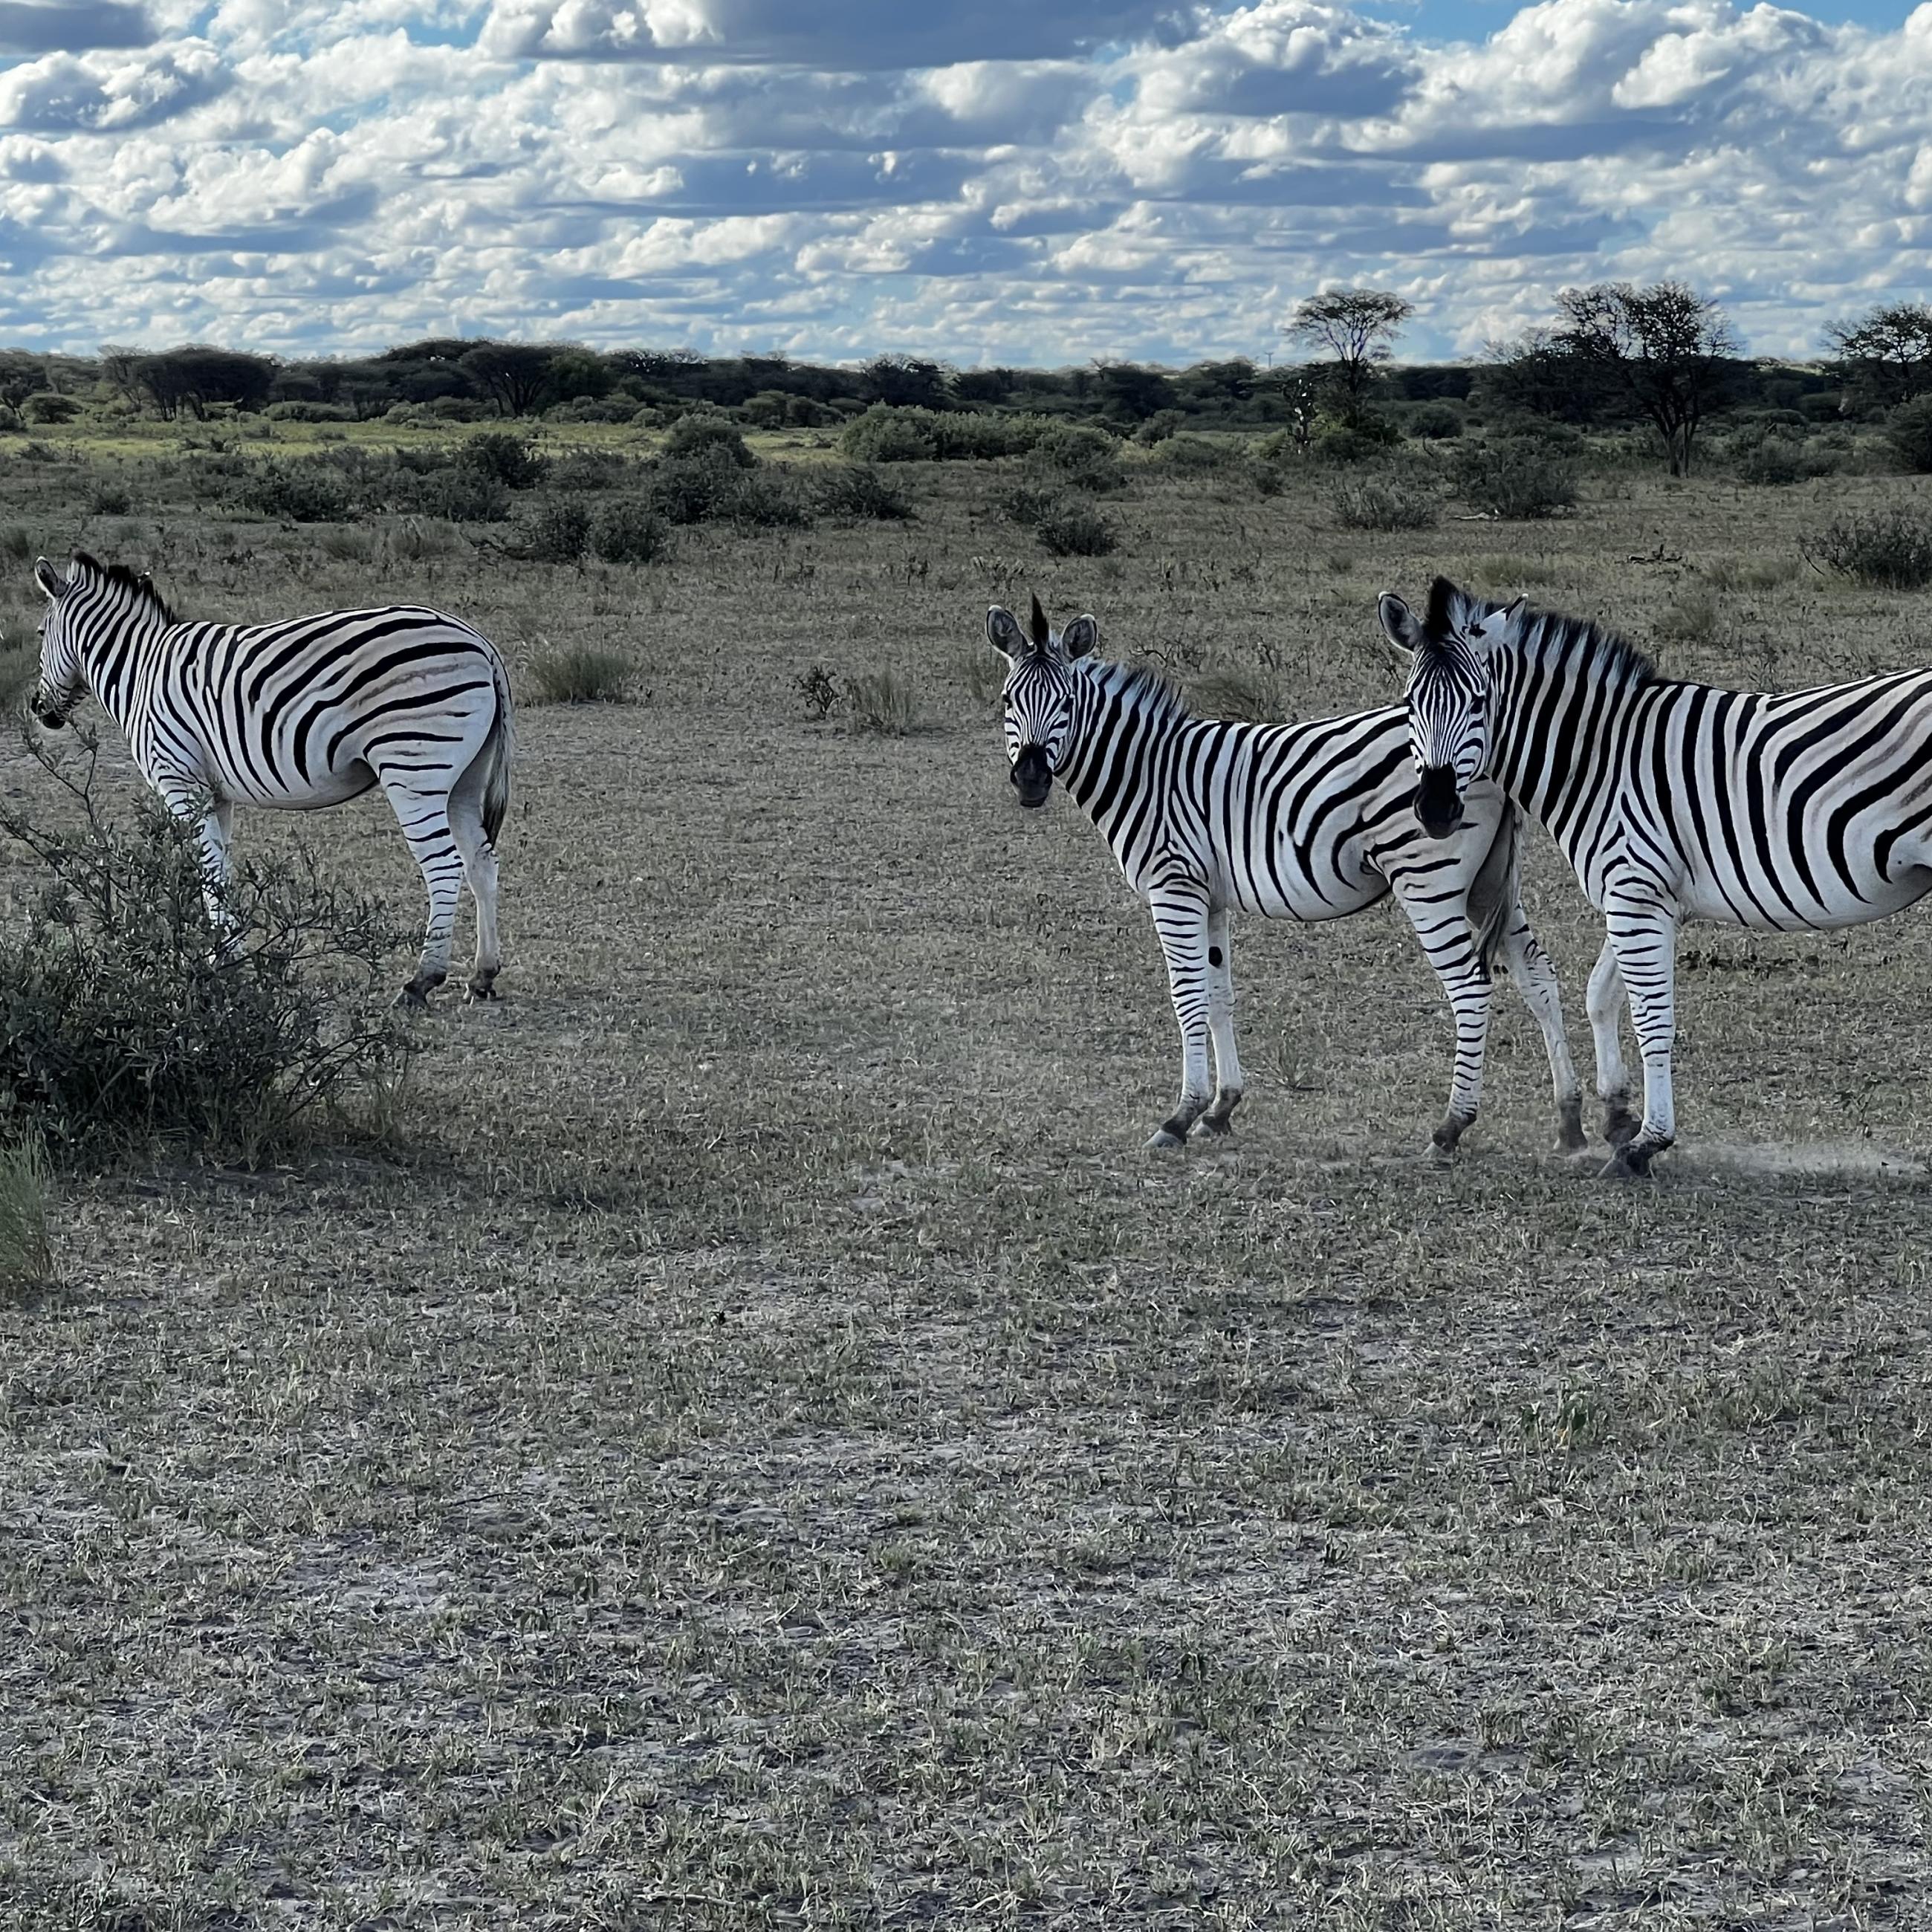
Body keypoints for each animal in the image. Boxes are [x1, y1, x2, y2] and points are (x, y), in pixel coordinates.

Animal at [32, 552, 513, 1005]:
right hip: (464, 779)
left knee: (444, 866)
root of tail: (480, 643)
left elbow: (206, 868)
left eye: (38, 634)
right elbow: (219, 871)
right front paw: (226, 954)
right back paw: (483, 975)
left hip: (414, 765)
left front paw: (220, 964)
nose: (39, 710)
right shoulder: (215, 792)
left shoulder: (178, 778)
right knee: (481, 862)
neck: (140, 668)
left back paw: (422, 980)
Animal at [981, 594, 1584, 1151]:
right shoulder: (1209, 895)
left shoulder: (1173, 886)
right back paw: (1570, 1118)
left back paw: (1452, 1126)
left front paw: (1179, 1117)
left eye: (1065, 702)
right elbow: (1218, 993)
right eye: (1008, 700)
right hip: (1487, 884)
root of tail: (1492, 753)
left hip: (1428, 879)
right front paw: (1221, 1107)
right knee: (1538, 975)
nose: (1030, 780)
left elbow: (1187, 995)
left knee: (1471, 986)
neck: (1145, 770)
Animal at [1383, 571, 1932, 1174]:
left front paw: (1646, 1143)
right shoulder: (1642, 893)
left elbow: (1652, 1020)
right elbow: (1601, 995)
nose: (1436, 811)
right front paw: (1619, 1117)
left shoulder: (1633, 892)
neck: (1600, 758)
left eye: (1481, 701)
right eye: (1409, 703)